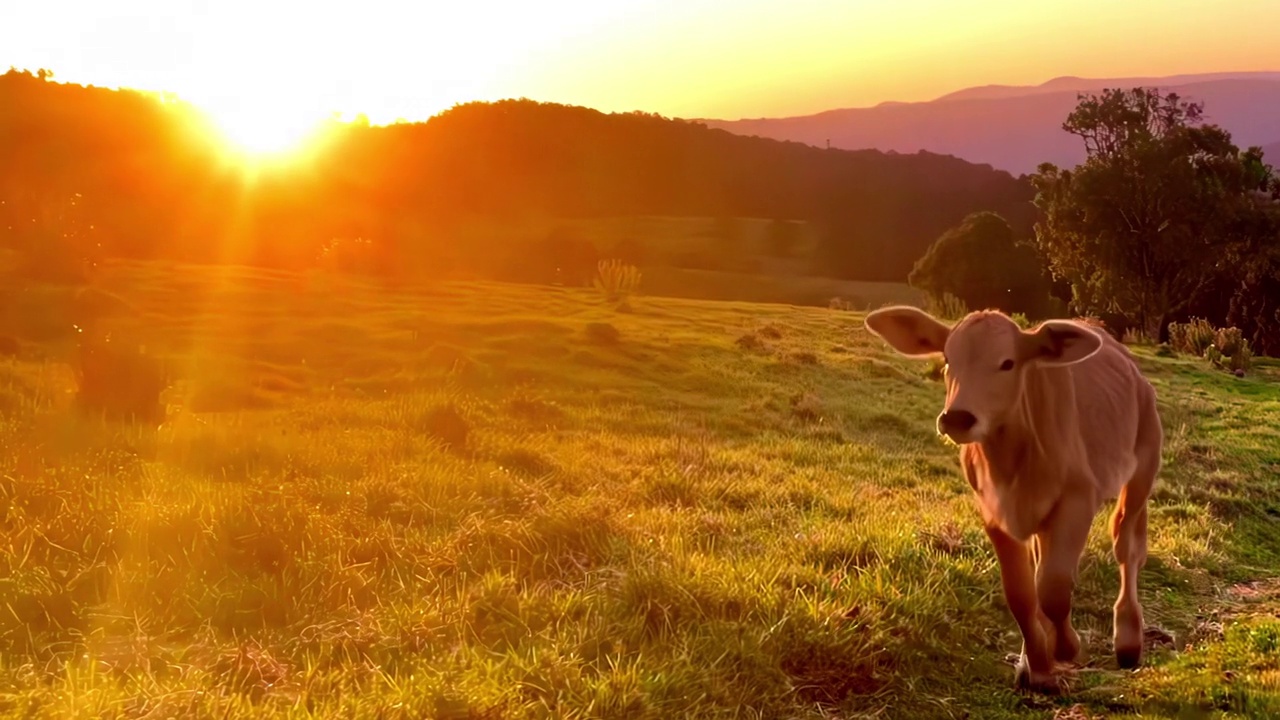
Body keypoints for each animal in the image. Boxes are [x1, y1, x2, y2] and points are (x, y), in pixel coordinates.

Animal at [865, 303, 1167, 691]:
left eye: (1007, 363)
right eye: (947, 359)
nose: (958, 418)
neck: (1010, 459)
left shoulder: (1077, 498)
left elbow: (1053, 586)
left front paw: (1065, 648)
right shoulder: (995, 512)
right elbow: (1022, 593)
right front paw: (1037, 663)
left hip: (1144, 466)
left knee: (1126, 545)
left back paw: (1128, 639)